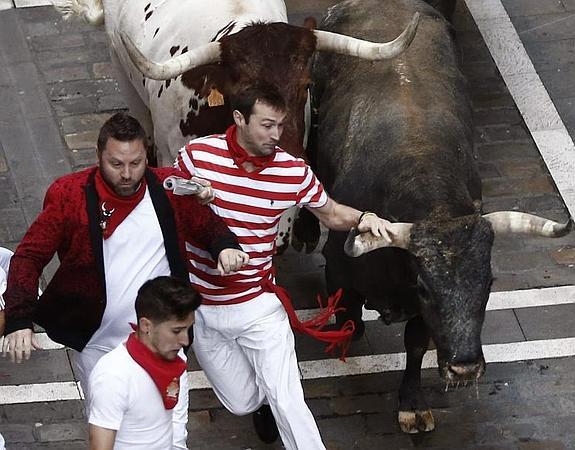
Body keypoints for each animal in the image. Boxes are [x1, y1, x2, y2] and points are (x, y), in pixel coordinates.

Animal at [302, 0, 572, 434]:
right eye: (426, 287)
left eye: (489, 284)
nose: (464, 369)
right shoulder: (340, 264)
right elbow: (350, 314)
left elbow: (415, 344)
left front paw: (412, 404)